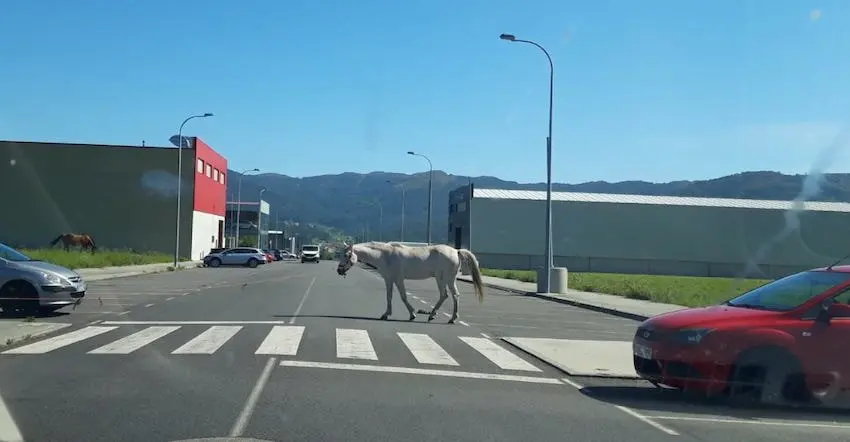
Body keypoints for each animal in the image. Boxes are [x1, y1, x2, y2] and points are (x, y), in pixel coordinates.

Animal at [336, 243, 484, 322]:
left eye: (347, 255)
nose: (339, 270)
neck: (385, 256)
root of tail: (456, 251)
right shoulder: (388, 279)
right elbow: (389, 296)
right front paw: (386, 314)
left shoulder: (398, 279)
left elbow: (403, 296)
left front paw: (412, 314)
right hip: (444, 279)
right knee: (448, 295)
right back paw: (436, 316)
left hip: (446, 278)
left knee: (450, 295)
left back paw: (447, 317)